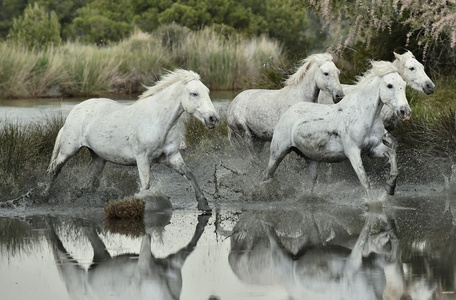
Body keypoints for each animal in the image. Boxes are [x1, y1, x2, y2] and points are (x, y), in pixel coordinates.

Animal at [45, 69, 220, 212]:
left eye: (207, 91)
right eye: (194, 93)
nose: (213, 119)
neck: (156, 121)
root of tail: (74, 111)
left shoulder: (172, 157)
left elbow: (190, 174)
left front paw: (204, 205)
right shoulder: (142, 159)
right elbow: (145, 186)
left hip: (99, 158)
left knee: (89, 182)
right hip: (69, 150)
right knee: (54, 170)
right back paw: (44, 195)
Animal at [262, 60, 412, 197]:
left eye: (404, 85)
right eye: (389, 85)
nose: (405, 111)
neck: (362, 115)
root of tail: (288, 111)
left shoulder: (373, 149)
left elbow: (392, 155)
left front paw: (390, 187)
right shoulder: (353, 152)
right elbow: (365, 182)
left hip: (312, 160)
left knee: (310, 183)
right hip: (278, 153)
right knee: (266, 176)